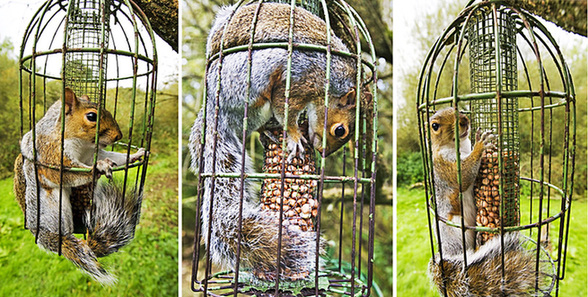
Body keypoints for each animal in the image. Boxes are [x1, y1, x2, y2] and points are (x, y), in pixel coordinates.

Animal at [14, 87, 145, 282]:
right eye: (91, 116)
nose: (119, 136)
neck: (83, 145)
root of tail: (40, 231)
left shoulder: (92, 154)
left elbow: (114, 157)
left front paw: (135, 155)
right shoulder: (52, 152)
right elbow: (67, 173)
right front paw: (99, 167)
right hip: (54, 210)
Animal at [188, 2, 368, 280]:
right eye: (341, 130)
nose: (322, 153)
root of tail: (213, 105)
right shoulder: (300, 81)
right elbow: (285, 108)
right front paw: (294, 136)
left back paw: (269, 132)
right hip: (252, 80)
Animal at [428, 106, 548, 296]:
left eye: (455, 108)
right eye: (434, 126)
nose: (464, 120)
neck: (458, 146)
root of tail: (446, 254)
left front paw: (477, 138)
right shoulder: (443, 166)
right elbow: (462, 177)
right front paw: (481, 144)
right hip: (456, 232)